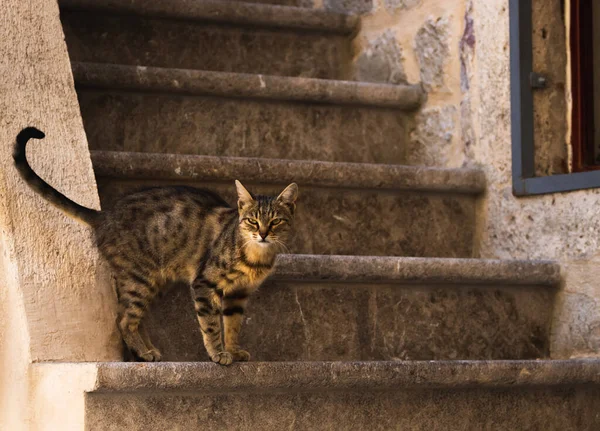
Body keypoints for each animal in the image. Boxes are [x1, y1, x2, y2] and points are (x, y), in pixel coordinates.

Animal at [12, 126, 298, 366]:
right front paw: (218, 353)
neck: (256, 257)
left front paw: (234, 350)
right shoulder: (205, 284)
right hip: (140, 279)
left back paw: (148, 350)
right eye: (252, 220)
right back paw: (144, 352)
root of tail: (104, 215)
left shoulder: (238, 295)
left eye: (275, 221)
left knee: (137, 319)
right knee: (123, 319)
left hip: (154, 283)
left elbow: (233, 325)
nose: (262, 234)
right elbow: (211, 325)